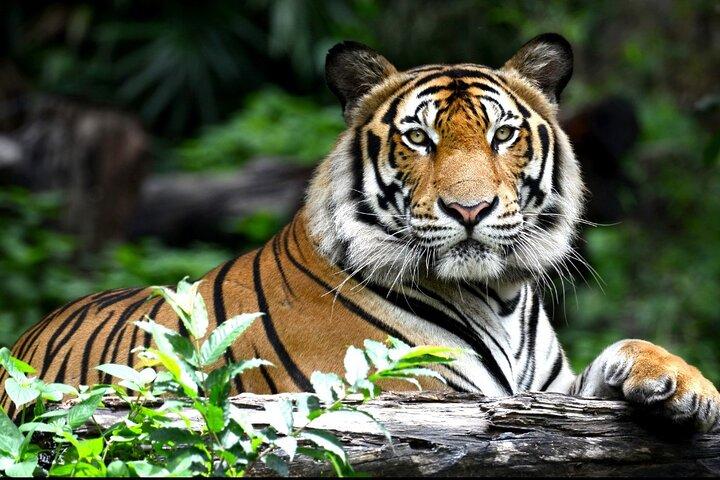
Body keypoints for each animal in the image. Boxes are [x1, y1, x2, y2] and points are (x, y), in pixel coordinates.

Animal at [3, 33, 719, 431]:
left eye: (503, 134)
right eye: (419, 138)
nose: (470, 209)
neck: (500, 295)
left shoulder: (551, 395)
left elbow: (622, 353)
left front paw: (686, 386)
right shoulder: (408, 396)